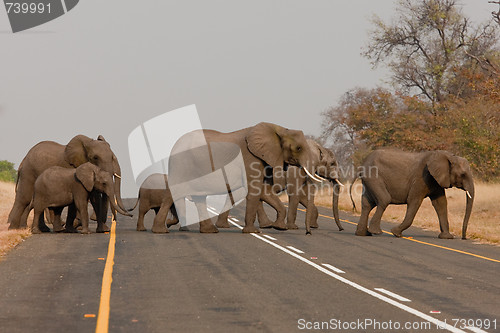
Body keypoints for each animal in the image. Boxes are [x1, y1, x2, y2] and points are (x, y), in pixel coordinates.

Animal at [167, 122, 316, 233]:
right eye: (298, 148)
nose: (308, 233)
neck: (278, 129)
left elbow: (264, 190)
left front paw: (279, 227)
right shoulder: (250, 159)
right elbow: (255, 191)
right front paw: (253, 232)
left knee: (199, 198)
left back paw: (207, 230)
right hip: (181, 165)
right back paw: (176, 227)